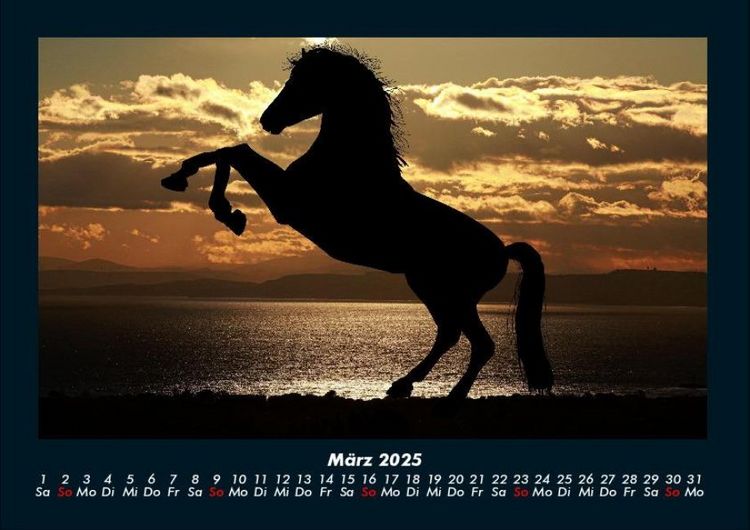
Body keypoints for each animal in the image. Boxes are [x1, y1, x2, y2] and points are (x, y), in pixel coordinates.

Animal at [161, 45, 553, 398]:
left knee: (477, 342)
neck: (349, 163)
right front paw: (185, 182)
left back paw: (448, 394)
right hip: (433, 289)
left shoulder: (287, 202)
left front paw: (224, 210)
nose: (267, 120)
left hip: (447, 292)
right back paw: (403, 385)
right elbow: (228, 152)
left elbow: (235, 152)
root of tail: (502, 251)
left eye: (302, 81)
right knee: (450, 334)